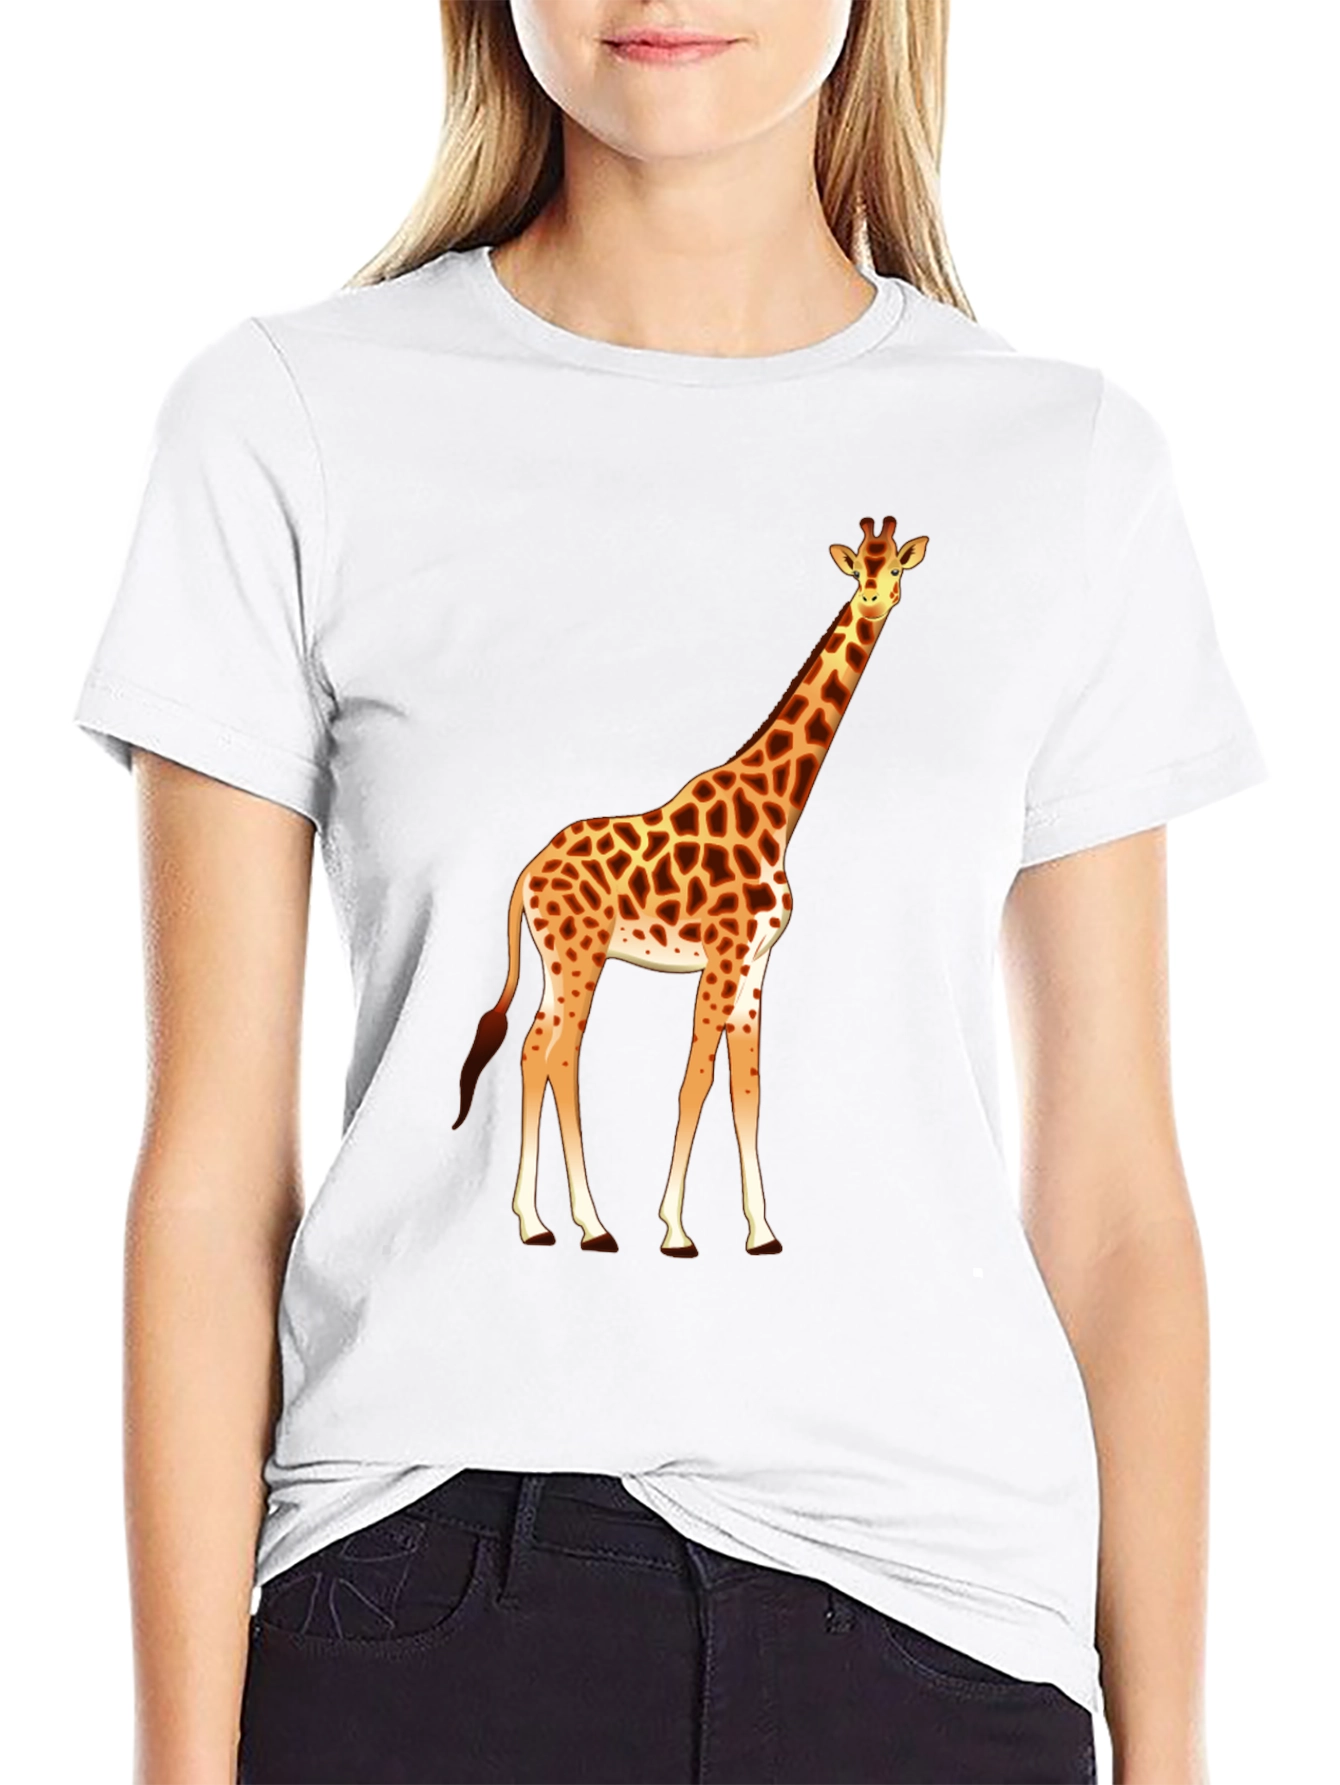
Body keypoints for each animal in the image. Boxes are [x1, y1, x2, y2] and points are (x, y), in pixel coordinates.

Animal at [453, 515, 929, 1255]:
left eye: (897, 567)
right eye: (860, 569)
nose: (877, 600)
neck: (777, 810)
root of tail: (526, 872)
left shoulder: (757, 964)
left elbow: (748, 1090)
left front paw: (760, 1230)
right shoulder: (725, 957)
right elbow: (695, 1080)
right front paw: (675, 1229)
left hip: (563, 961)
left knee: (541, 1051)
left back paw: (561, 1221)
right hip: (578, 956)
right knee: (554, 1053)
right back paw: (568, 1223)